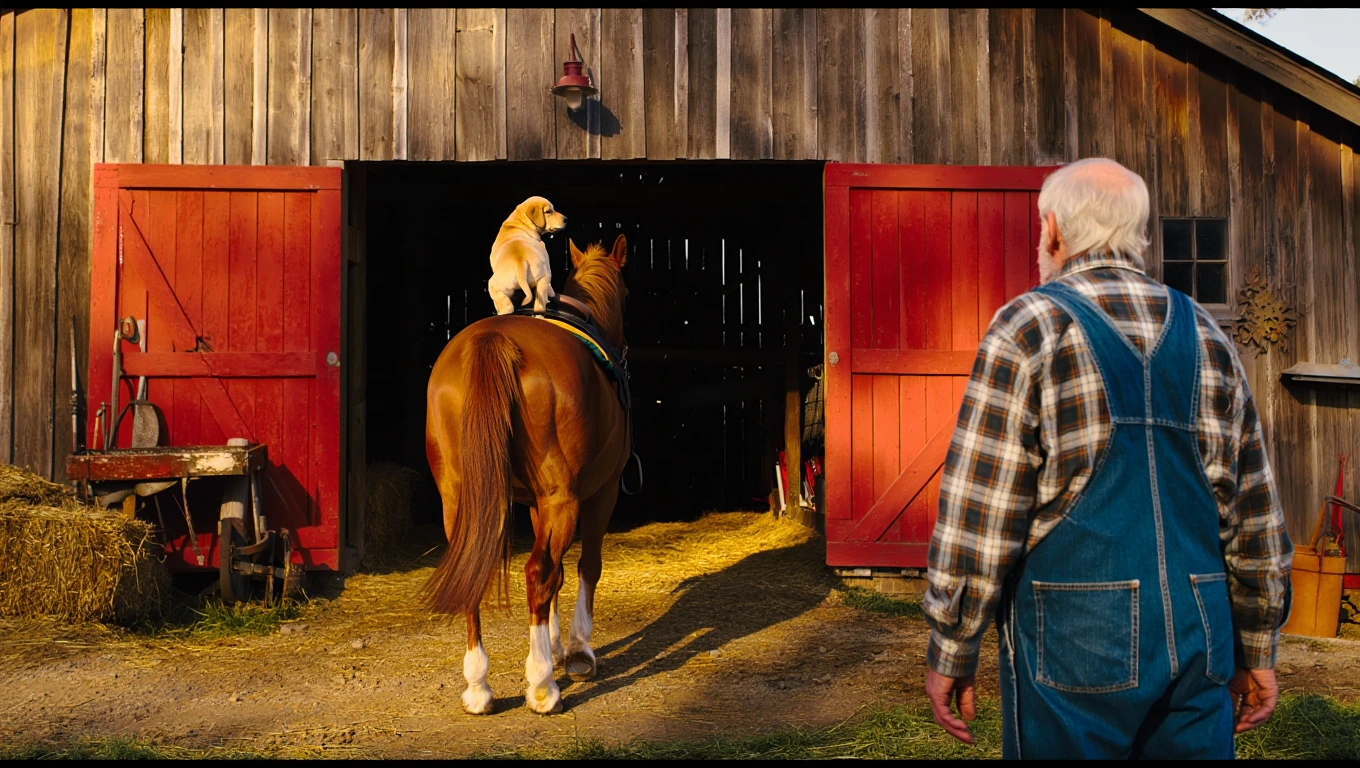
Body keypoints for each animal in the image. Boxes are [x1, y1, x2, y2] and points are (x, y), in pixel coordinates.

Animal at [423, 234, 631, 715]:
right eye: (628, 294)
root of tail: (495, 339)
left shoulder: (538, 504)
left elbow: (557, 576)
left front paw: (551, 643)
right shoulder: (598, 493)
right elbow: (584, 567)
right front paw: (576, 651)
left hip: (460, 499)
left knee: (474, 571)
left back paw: (478, 687)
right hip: (563, 498)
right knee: (539, 571)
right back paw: (541, 686)